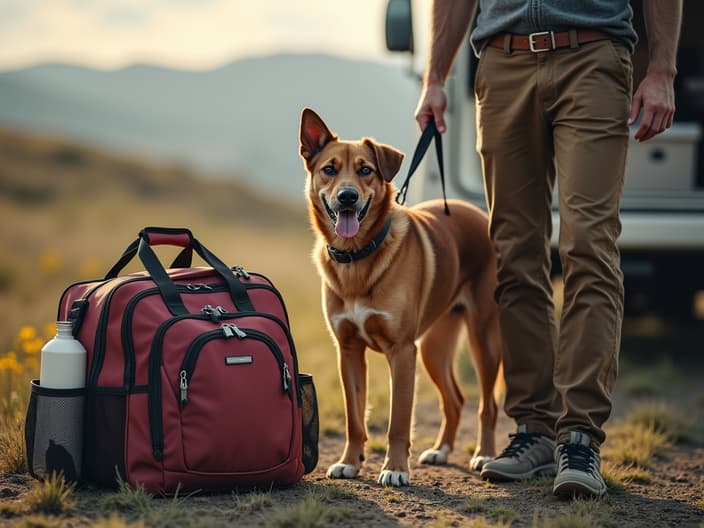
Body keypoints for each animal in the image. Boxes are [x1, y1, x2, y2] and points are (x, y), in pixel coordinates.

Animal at [300, 107, 504, 486]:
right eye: (329, 169)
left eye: (366, 169)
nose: (347, 197)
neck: (358, 258)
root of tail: (478, 213)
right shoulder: (348, 351)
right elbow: (354, 418)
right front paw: (350, 462)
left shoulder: (403, 352)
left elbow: (398, 422)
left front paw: (394, 469)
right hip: (434, 347)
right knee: (455, 400)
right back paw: (440, 450)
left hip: (483, 337)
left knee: (488, 404)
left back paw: (484, 455)